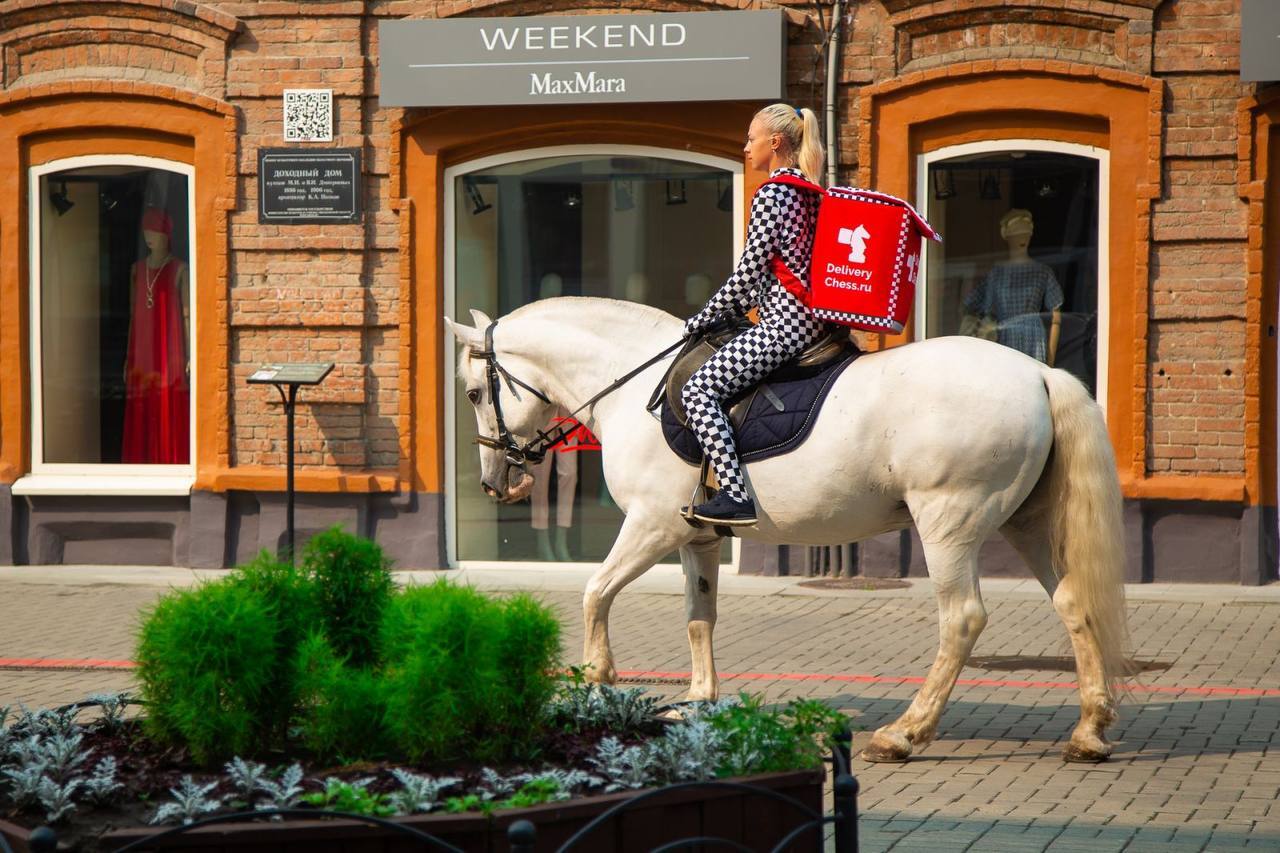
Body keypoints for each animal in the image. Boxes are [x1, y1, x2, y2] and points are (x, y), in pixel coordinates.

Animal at [448, 295, 1131, 758]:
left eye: (476, 392)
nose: (496, 483)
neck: (634, 387)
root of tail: (1038, 373)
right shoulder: (696, 538)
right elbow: (699, 616)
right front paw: (699, 702)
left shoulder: (651, 527)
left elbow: (595, 593)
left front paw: (596, 682)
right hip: (1027, 524)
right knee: (1074, 604)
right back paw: (1089, 729)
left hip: (950, 524)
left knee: (961, 619)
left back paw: (905, 733)